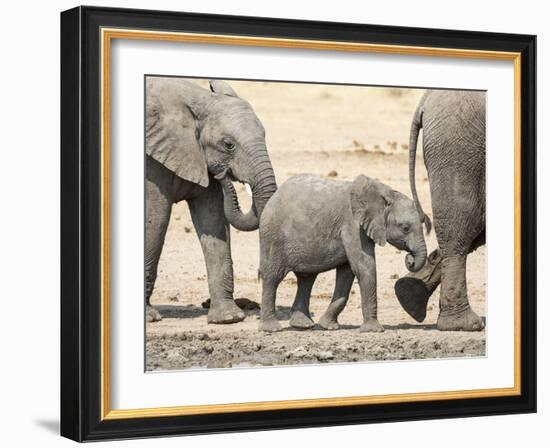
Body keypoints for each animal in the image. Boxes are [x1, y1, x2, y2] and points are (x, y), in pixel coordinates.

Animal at [146, 77, 278, 322]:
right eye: (228, 145)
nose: (224, 174)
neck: (199, 100)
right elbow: (155, 220)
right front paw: (149, 317)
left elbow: (214, 220)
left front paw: (228, 318)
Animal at [260, 173, 432, 330]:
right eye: (405, 228)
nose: (410, 259)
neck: (384, 193)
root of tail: (274, 197)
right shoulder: (352, 225)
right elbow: (364, 266)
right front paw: (374, 330)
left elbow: (347, 274)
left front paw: (328, 326)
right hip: (273, 236)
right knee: (273, 276)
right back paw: (272, 328)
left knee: (306, 278)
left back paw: (303, 325)